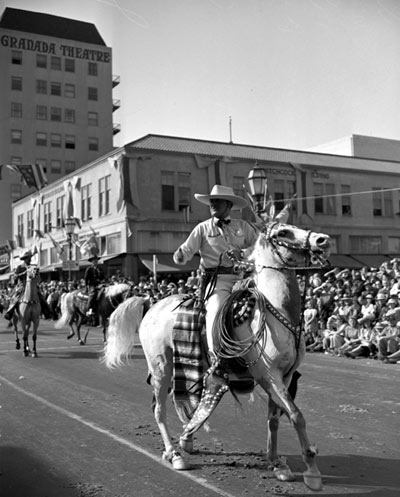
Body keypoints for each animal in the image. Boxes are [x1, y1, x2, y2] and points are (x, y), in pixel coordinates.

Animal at [103, 220, 332, 488]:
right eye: (283, 232)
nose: (322, 240)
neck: (276, 313)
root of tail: (151, 303)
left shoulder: (285, 377)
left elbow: (274, 419)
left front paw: (276, 463)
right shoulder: (269, 375)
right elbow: (296, 415)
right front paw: (312, 471)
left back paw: (186, 440)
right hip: (161, 367)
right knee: (159, 409)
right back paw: (174, 454)